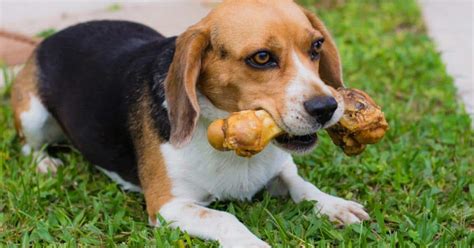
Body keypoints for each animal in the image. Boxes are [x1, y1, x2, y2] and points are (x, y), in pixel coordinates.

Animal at [10, 0, 366, 246]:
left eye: (316, 46)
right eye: (262, 58)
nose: (327, 107)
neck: (230, 141)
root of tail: (46, 40)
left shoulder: (278, 168)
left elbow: (301, 185)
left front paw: (334, 205)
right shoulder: (169, 206)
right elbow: (226, 219)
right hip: (33, 115)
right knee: (28, 146)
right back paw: (45, 163)